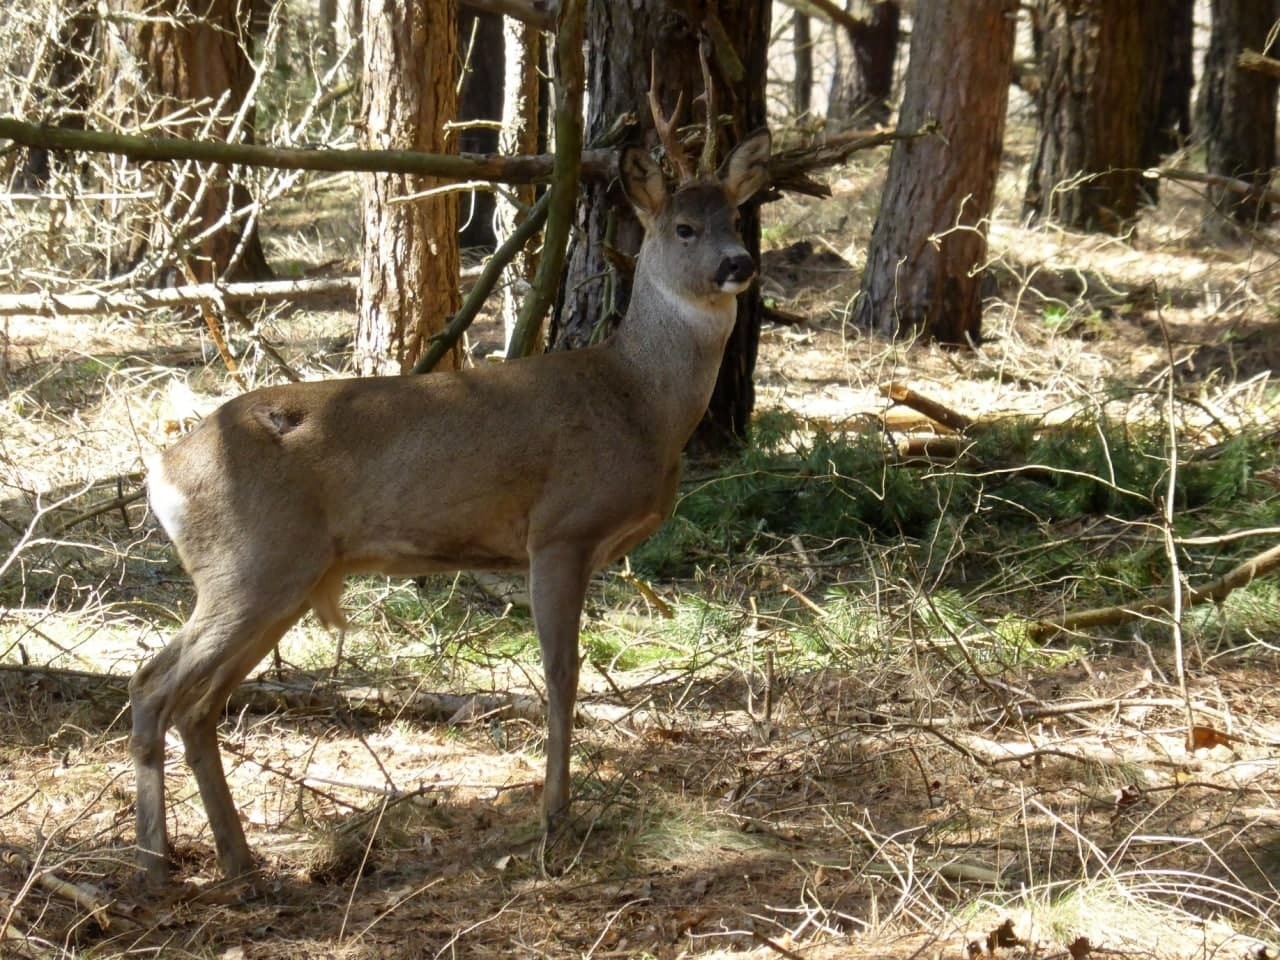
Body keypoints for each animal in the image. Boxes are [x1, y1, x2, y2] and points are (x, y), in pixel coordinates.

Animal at [132, 94, 768, 885]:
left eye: (737, 217)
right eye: (684, 227)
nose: (739, 264)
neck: (639, 400)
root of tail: (161, 473)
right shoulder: (559, 528)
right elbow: (562, 673)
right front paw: (554, 816)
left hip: (281, 578)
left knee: (186, 698)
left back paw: (227, 862)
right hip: (250, 565)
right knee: (158, 688)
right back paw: (167, 863)